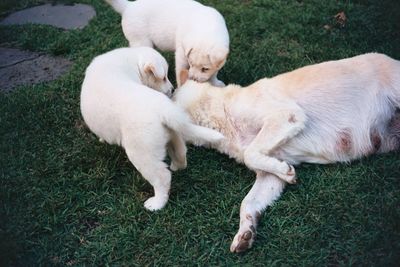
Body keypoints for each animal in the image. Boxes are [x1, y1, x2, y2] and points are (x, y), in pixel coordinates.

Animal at [80, 47, 225, 211]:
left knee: (162, 176)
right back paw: (177, 166)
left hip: (142, 152)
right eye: (164, 78)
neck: (133, 60)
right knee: (181, 153)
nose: (172, 89)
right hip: (173, 133)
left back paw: (156, 203)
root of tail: (163, 109)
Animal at [174, 53, 400, 254]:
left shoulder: (286, 116)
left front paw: (287, 172)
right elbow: (248, 202)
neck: (220, 112)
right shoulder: (268, 175)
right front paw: (246, 233)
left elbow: (250, 154)